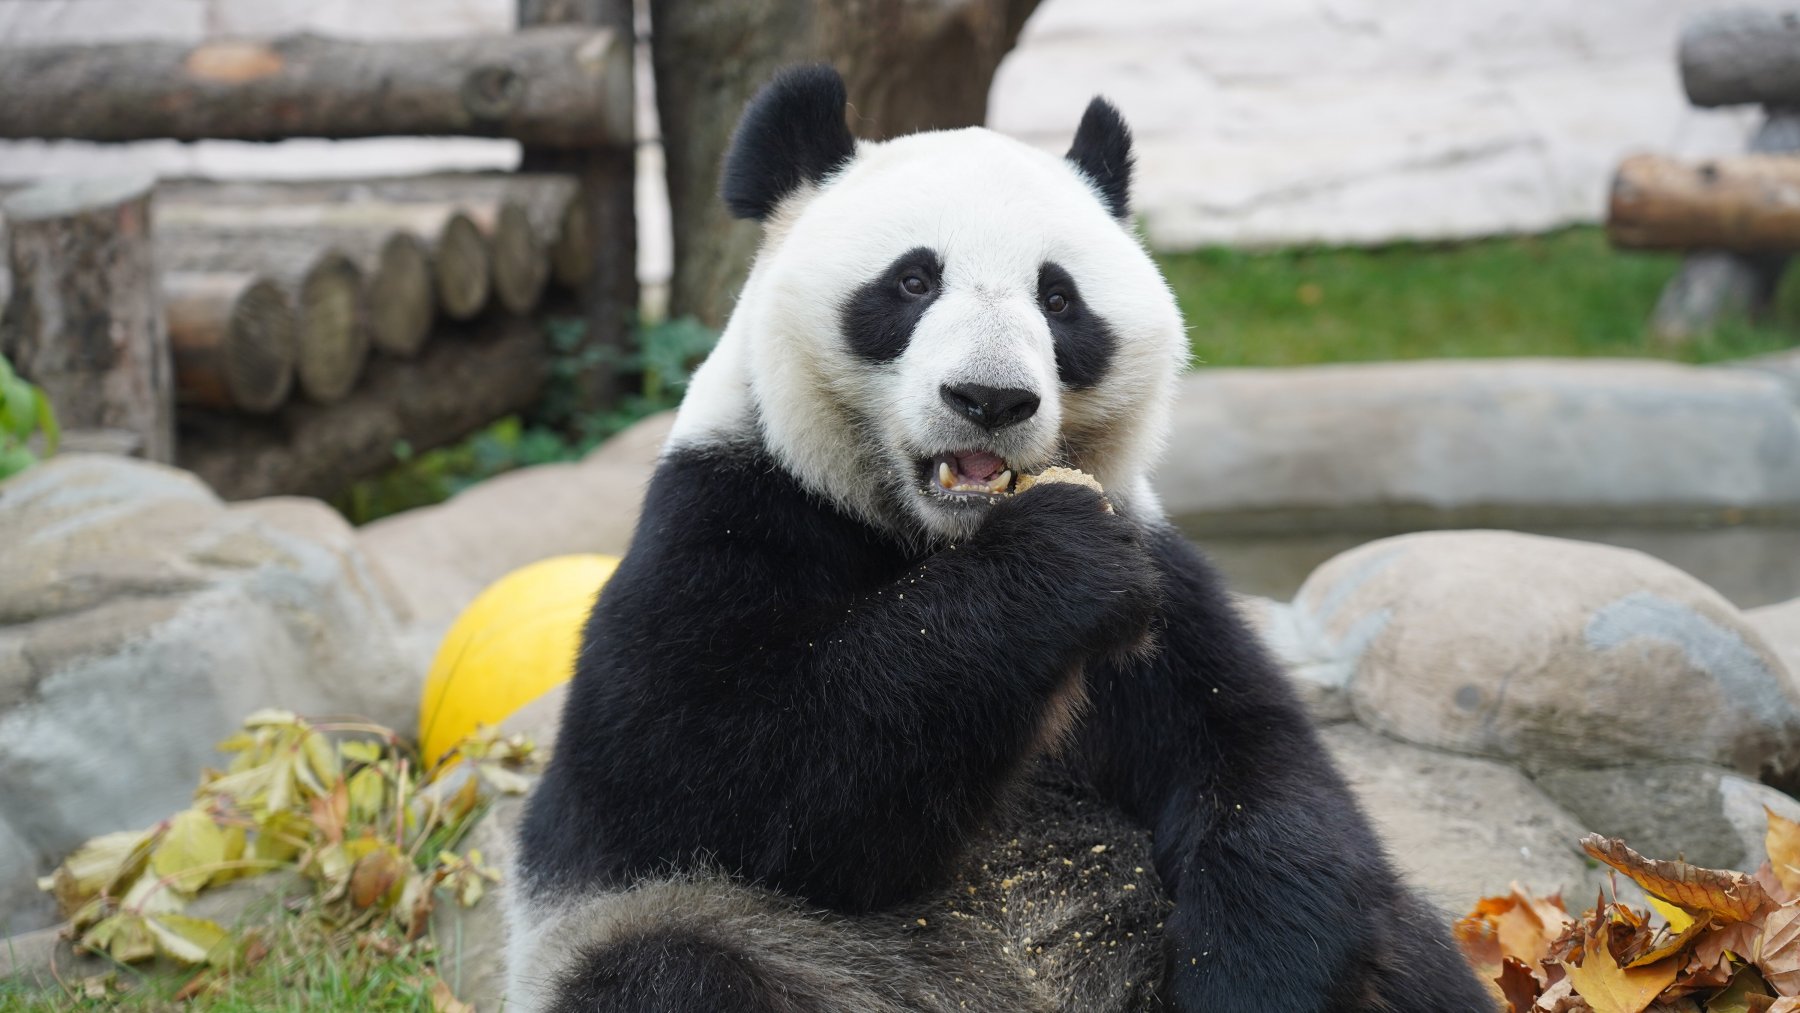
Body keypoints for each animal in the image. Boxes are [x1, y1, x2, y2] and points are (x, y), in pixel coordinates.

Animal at [507, 65, 1490, 1013]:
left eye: (1059, 299)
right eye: (912, 281)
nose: (991, 398)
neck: (939, 538)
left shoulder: (1165, 578)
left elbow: (1256, 764)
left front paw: (1253, 980)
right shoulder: (726, 514)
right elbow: (717, 773)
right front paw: (1056, 563)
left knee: (1405, 949)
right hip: (786, 947)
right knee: (672, 967)